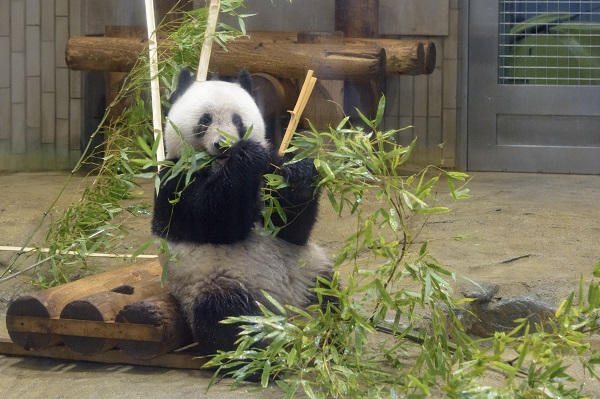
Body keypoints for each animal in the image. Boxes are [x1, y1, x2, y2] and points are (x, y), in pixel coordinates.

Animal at [151, 69, 332, 356]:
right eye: (205, 119)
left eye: (237, 119)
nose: (224, 145)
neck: (219, 165)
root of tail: (286, 310)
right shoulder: (175, 180)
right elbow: (213, 219)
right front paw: (246, 156)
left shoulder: (270, 174)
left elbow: (292, 230)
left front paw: (300, 176)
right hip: (216, 283)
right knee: (227, 319)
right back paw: (260, 353)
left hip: (311, 270)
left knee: (330, 294)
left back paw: (329, 332)